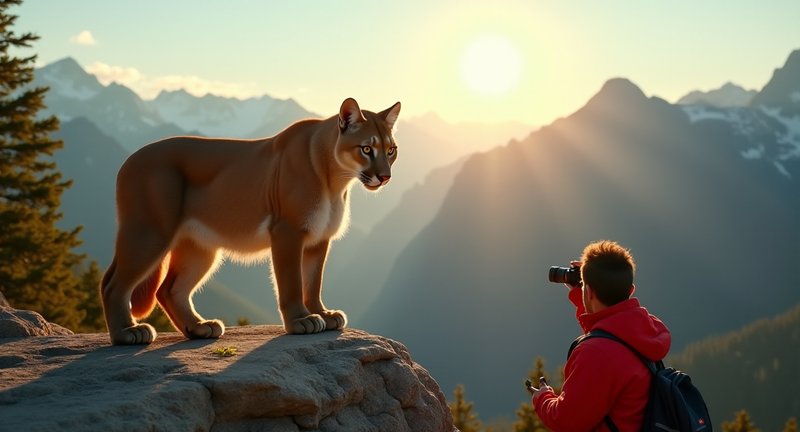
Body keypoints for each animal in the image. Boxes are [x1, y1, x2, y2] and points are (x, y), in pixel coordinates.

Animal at [100, 98, 400, 344]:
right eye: (366, 149)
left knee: (168, 290)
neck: (334, 179)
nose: (385, 177)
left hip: (199, 246)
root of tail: (128, 160)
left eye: (391, 150)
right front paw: (301, 320)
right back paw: (128, 333)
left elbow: (313, 281)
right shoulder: (288, 232)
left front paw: (322, 313)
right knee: (112, 284)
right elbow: (292, 281)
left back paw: (199, 327)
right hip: (149, 233)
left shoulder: (318, 238)